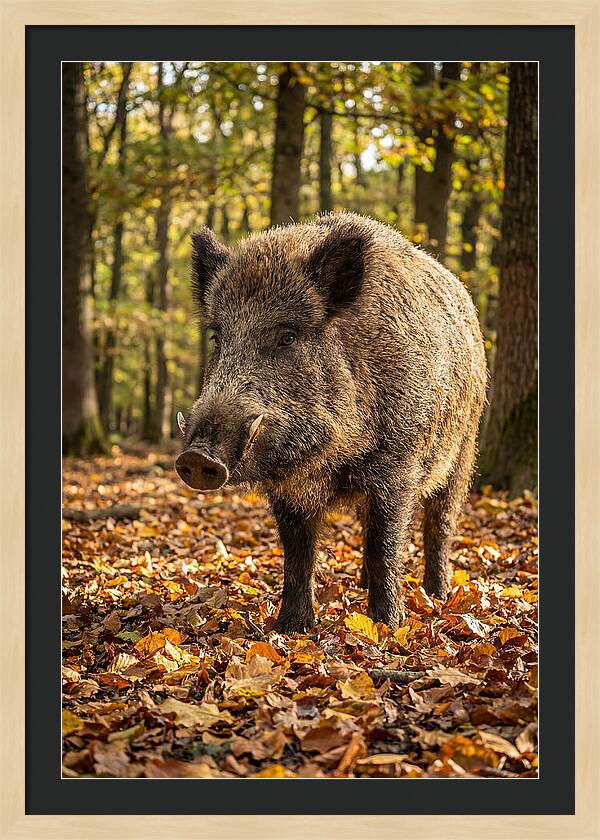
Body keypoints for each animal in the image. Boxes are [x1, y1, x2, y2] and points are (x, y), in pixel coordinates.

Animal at [176, 212, 487, 633]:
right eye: (217, 337)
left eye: (287, 336)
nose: (196, 457)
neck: (328, 459)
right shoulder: (289, 490)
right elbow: (298, 553)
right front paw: (290, 628)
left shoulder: (397, 467)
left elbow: (385, 544)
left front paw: (388, 626)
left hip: (463, 450)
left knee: (440, 524)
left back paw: (437, 594)